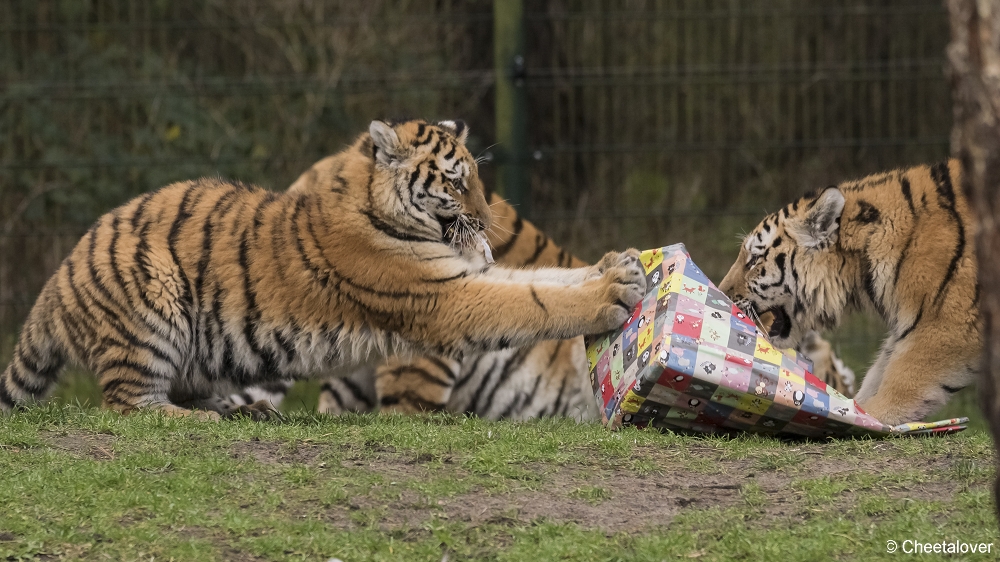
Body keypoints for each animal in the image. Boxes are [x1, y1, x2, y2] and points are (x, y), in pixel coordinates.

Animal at [0, 117, 648, 416]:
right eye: (457, 181)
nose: (489, 224)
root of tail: (57, 280)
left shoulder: (463, 275)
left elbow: (541, 281)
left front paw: (617, 266)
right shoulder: (441, 295)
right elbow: (534, 300)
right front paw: (610, 293)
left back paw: (242, 413)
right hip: (152, 307)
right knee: (128, 406)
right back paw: (201, 421)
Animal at [720, 160, 976, 422]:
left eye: (754, 260)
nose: (721, 293)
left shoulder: (944, 328)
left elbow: (899, 387)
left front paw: (867, 420)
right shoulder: (907, 330)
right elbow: (877, 375)